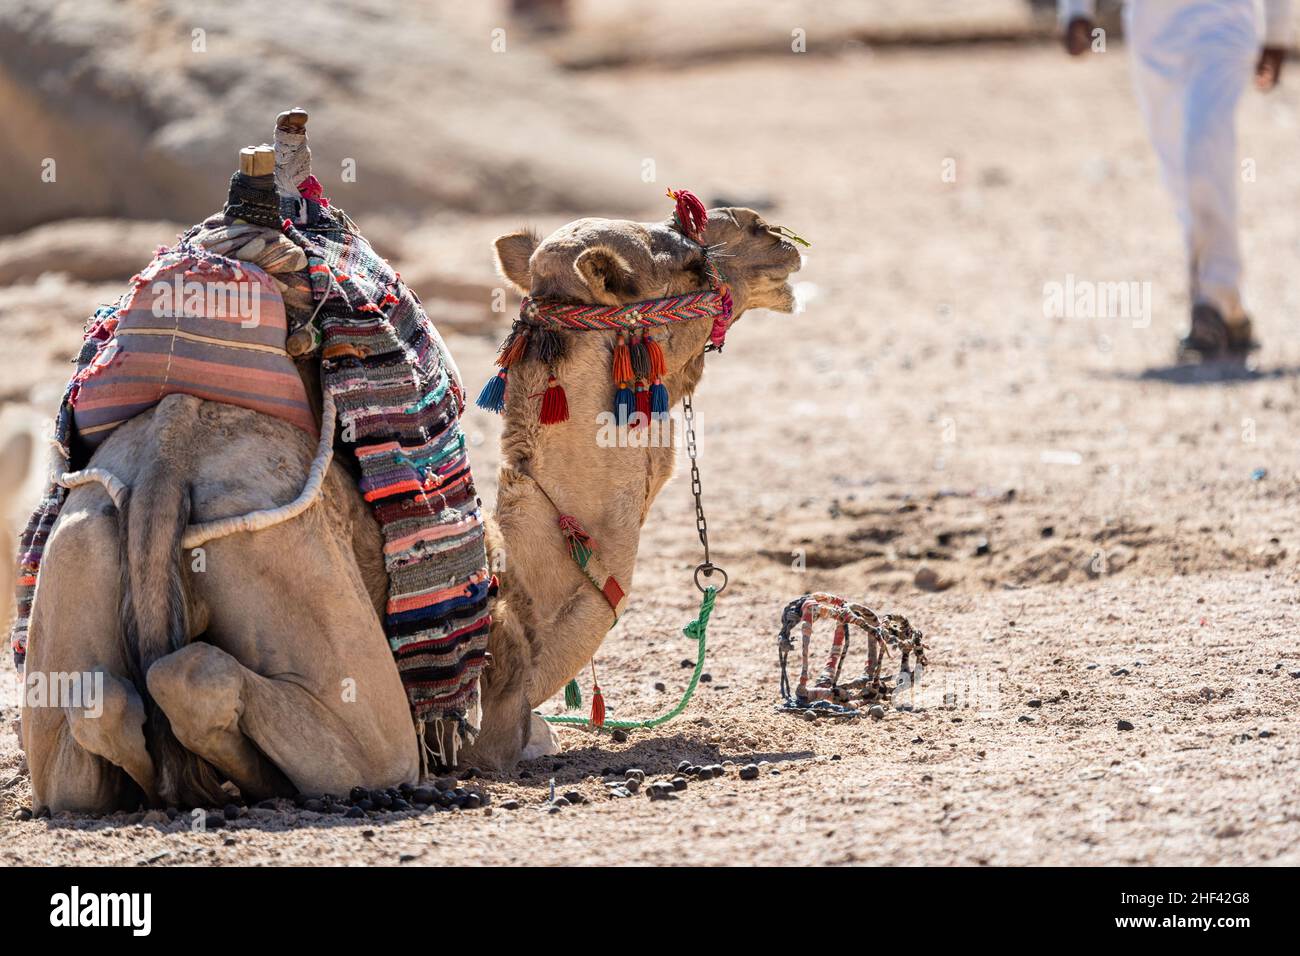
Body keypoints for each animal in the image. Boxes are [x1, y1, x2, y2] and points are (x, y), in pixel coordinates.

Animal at [17, 204, 800, 816]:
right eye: (690, 263)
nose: (772, 235)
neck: (513, 596)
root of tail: (168, 455)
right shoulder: (504, 724)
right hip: (290, 575)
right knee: (218, 687)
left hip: (83, 541)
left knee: (101, 712)